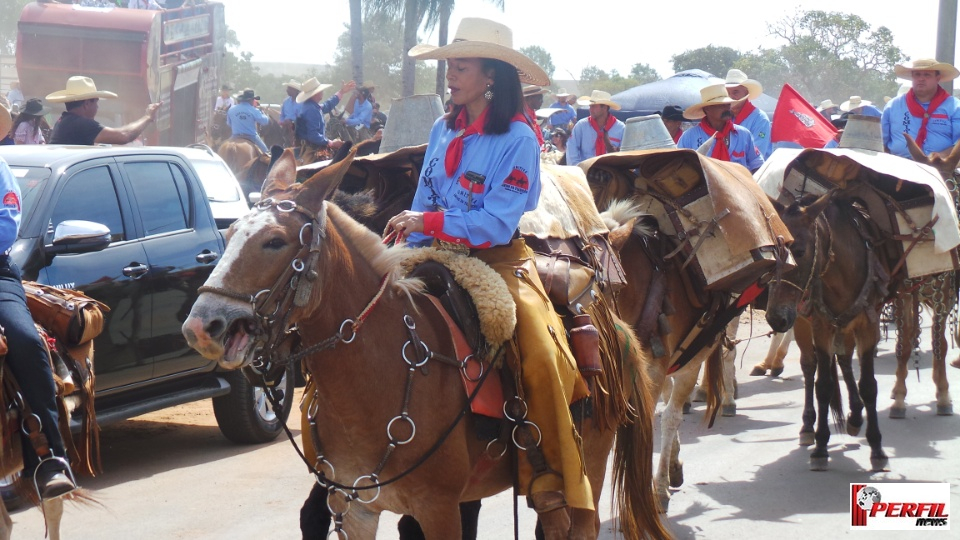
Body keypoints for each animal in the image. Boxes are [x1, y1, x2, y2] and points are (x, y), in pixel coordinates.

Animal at [180, 151, 668, 540]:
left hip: (587, 463)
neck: (376, 375)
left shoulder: (437, 509)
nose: (203, 325)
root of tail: (612, 329)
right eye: (228, 236)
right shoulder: (353, 507)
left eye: (275, 241)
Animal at [760, 192, 896, 470]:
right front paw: (821, 446)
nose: (775, 318)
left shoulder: (868, 325)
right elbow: (822, 385)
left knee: (844, 360)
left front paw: (877, 448)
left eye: (799, 251)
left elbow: (869, 385)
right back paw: (808, 427)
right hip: (803, 323)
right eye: (771, 253)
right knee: (809, 366)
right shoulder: (820, 327)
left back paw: (855, 416)